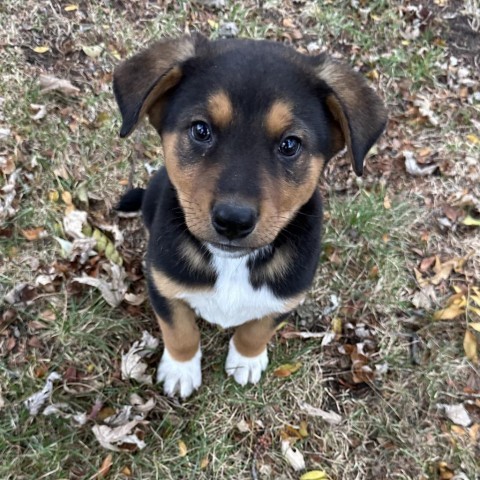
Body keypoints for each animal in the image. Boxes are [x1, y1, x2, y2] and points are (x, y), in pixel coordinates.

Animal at [112, 33, 386, 398]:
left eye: (290, 145)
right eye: (201, 130)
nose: (233, 220)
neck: (233, 264)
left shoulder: (286, 296)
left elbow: (258, 329)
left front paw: (246, 360)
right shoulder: (162, 283)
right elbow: (180, 330)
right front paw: (181, 370)